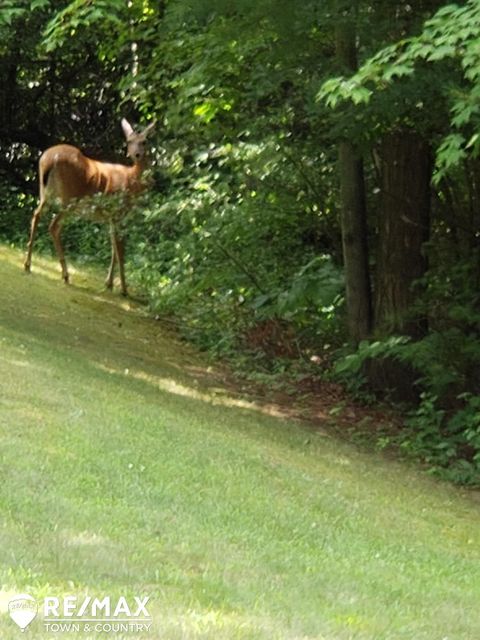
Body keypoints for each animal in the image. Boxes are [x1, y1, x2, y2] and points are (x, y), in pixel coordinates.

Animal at [23, 119, 155, 296]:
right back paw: (65, 275)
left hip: (45, 193)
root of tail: (50, 159)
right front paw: (124, 289)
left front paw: (109, 283)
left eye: (144, 141)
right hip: (70, 198)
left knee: (36, 215)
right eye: (129, 141)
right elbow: (120, 250)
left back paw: (28, 265)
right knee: (54, 226)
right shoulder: (118, 213)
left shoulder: (111, 217)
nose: (136, 155)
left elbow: (113, 248)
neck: (133, 179)